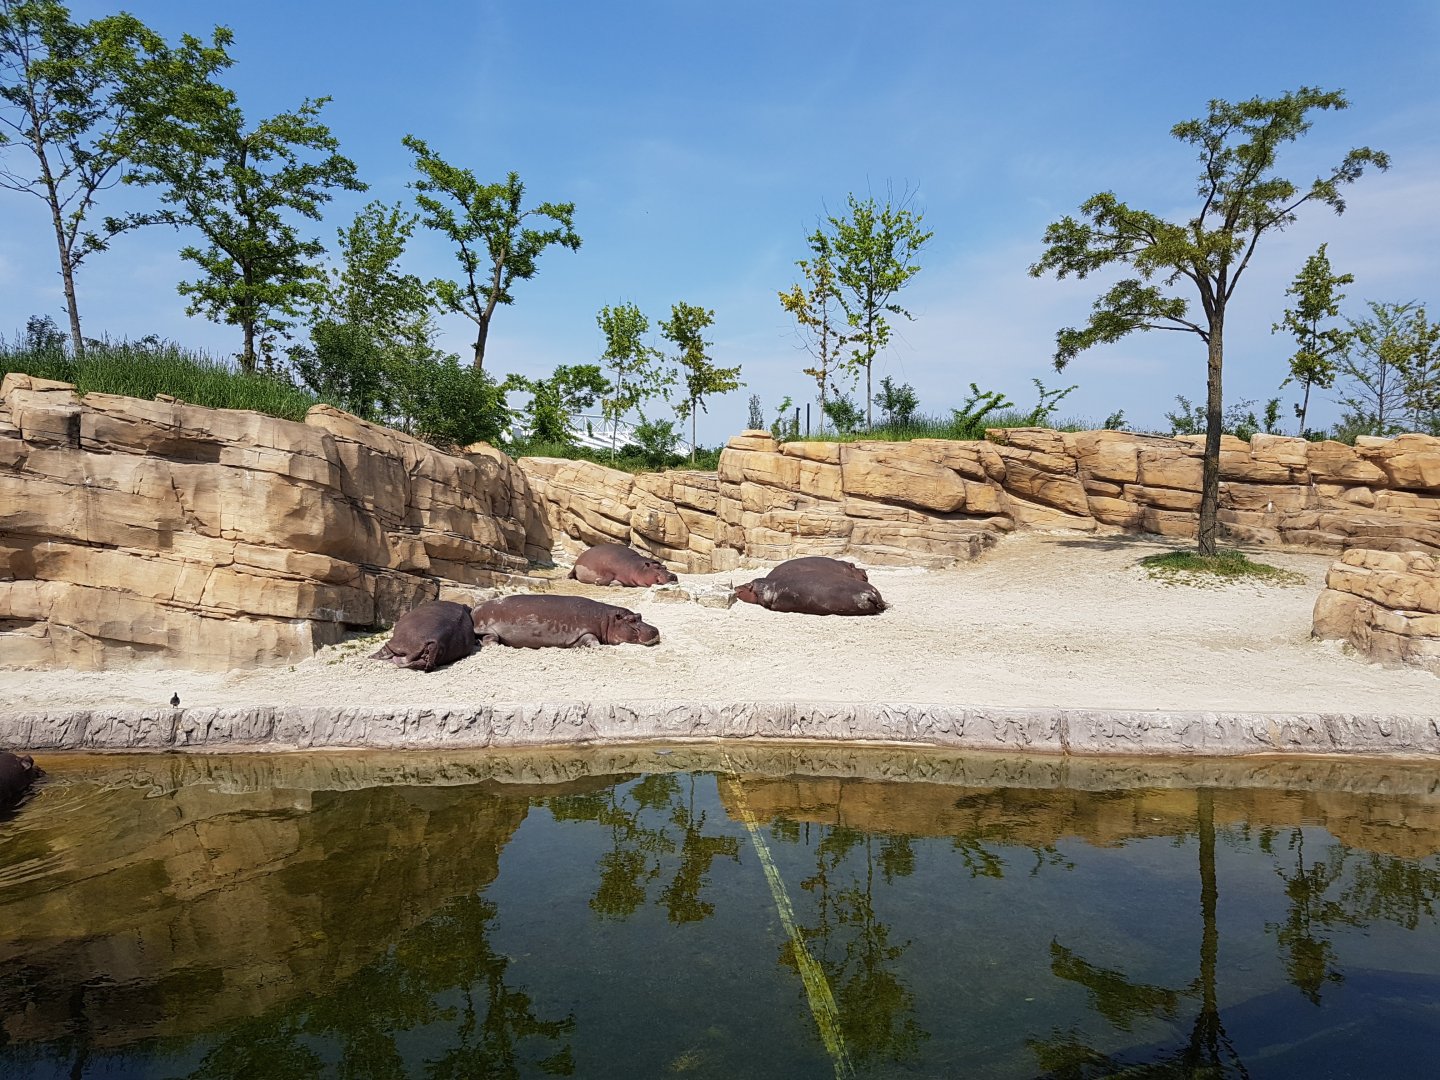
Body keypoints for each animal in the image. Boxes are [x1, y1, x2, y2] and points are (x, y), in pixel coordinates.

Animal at [471, 594, 661, 648]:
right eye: (631, 620)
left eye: (640, 615)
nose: (655, 630)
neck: (608, 620)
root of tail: (474, 610)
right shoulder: (584, 630)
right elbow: (592, 639)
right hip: (488, 628)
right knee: (489, 638)